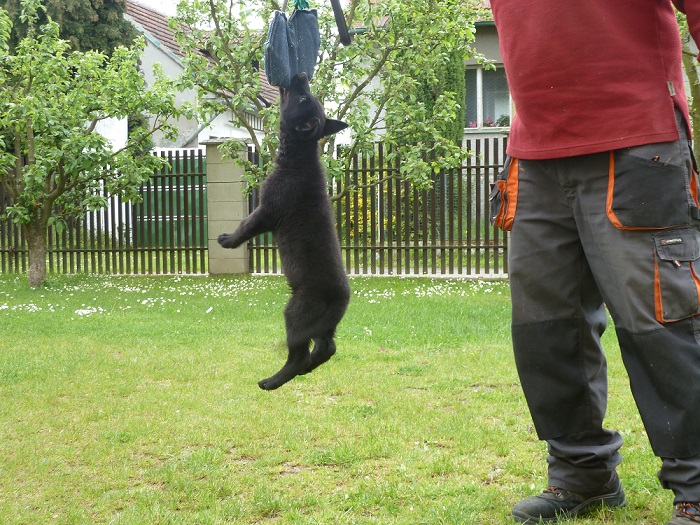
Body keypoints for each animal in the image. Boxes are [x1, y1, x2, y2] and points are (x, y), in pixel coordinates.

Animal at [218, 72, 351, 391]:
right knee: (327, 346)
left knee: (299, 354)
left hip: (296, 314)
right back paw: (309, 367)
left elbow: (245, 227)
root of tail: (340, 298)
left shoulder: (266, 212)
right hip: (323, 325)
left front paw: (227, 240)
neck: (299, 158)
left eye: (302, 98)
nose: (300, 75)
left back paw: (274, 380)